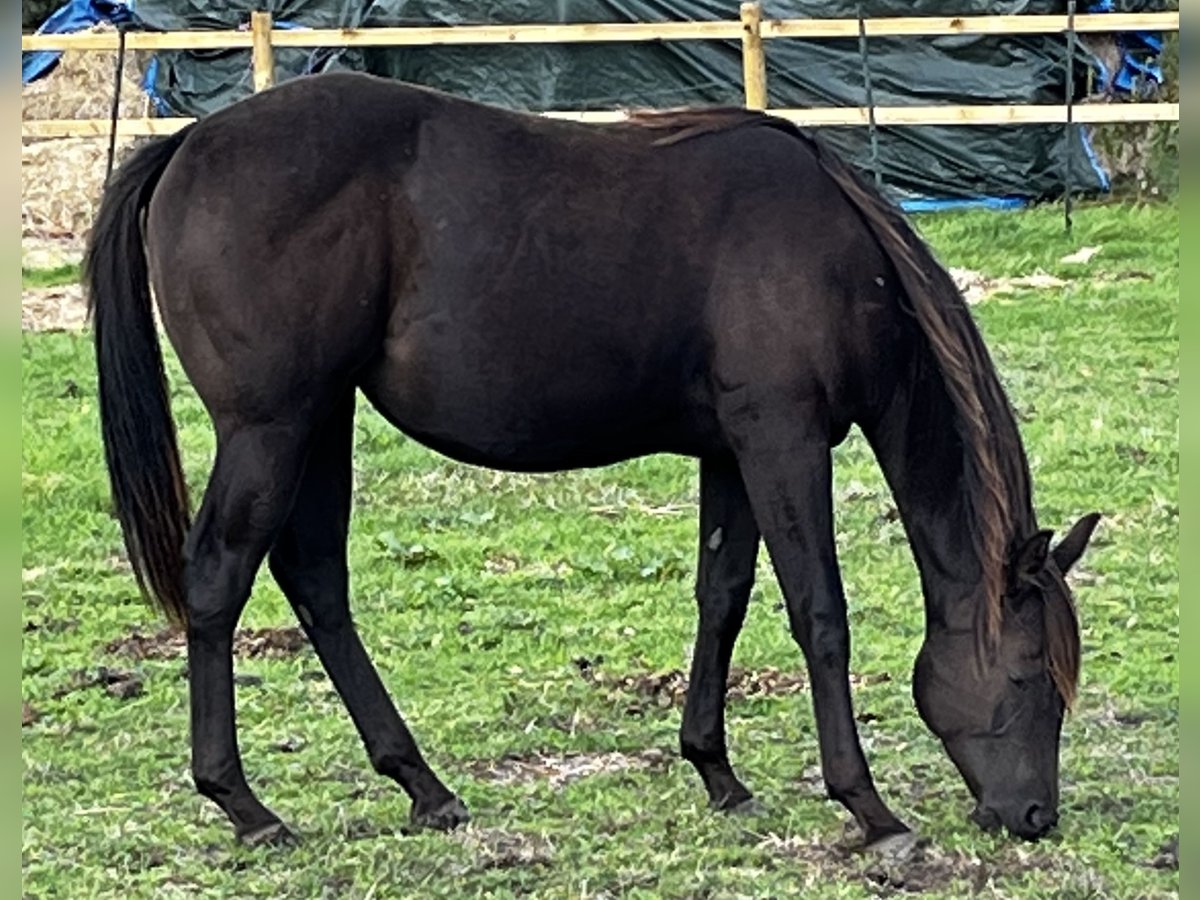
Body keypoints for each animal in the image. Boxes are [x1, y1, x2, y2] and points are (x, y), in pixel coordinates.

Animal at [82, 72, 1099, 854]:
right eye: (1025, 677)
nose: (1033, 816)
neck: (840, 253)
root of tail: (190, 142)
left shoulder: (731, 450)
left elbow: (723, 597)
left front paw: (716, 772)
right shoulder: (784, 437)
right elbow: (819, 614)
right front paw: (869, 807)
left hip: (320, 421)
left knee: (316, 582)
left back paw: (423, 786)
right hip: (269, 427)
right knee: (219, 581)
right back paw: (246, 806)